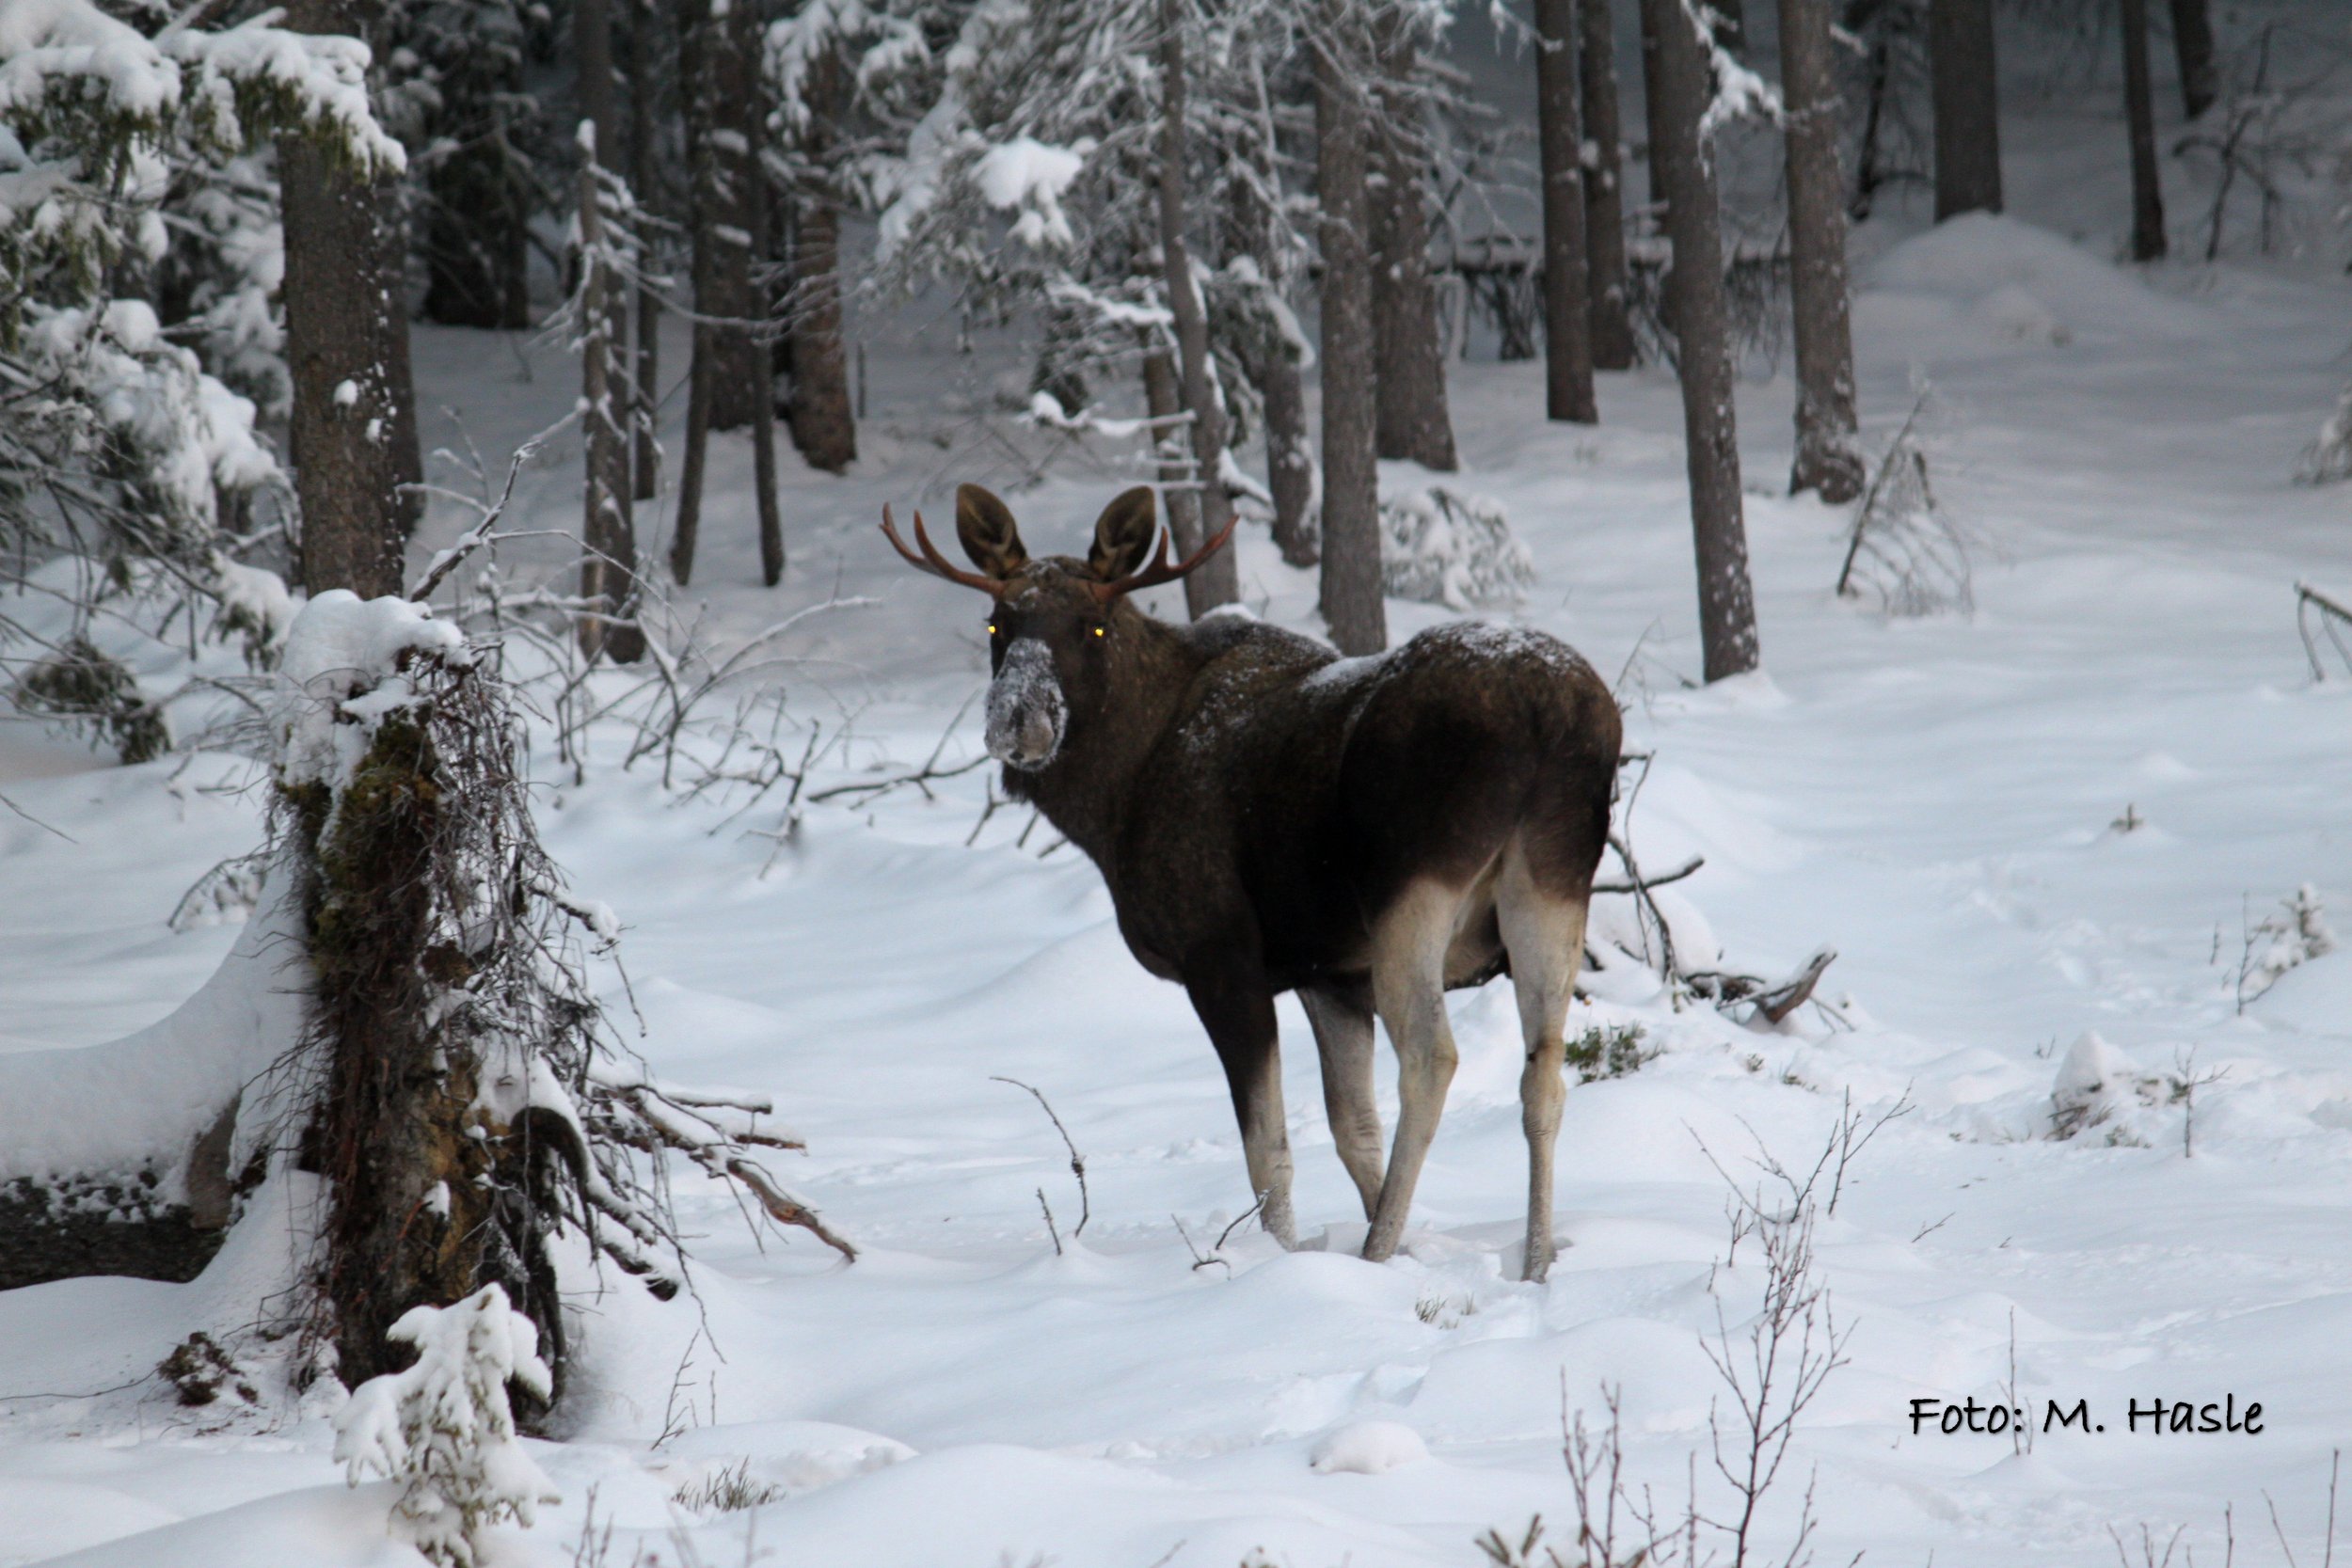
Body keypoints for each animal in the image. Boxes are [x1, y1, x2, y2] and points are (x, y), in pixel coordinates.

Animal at [884, 483, 1618, 1278]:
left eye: (1094, 625)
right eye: (997, 622)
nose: (1018, 720)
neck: (1114, 799)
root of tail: (1551, 714)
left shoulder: (1222, 957)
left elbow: (1267, 1151)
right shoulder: (1329, 975)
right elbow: (1352, 1128)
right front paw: (1412, 1249)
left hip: (1414, 890)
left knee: (1432, 1057)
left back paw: (1377, 1253)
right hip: (1552, 881)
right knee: (1543, 1074)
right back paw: (1535, 1262)